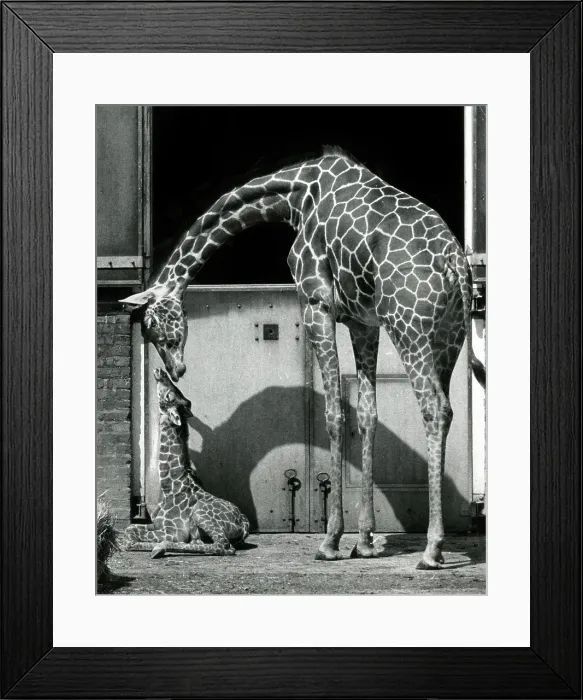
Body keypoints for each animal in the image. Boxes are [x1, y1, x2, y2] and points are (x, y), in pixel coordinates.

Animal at [123, 368, 250, 558]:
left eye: (169, 396)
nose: (160, 371)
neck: (169, 486)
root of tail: (244, 523)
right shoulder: (156, 524)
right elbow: (129, 530)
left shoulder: (173, 531)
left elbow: (129, 539)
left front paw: (157, 545)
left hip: (200, 513)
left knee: (224, 546)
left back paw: (161, 547)